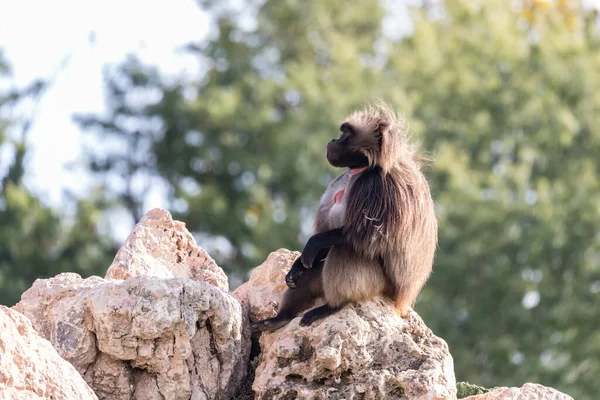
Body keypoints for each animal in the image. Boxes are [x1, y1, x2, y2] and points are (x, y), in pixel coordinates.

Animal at [252, 103, 436, 332]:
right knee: (315, 268)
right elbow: (316, 250)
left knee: (347, 247)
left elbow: (365, 235)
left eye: (346, 134)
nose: (333, 140)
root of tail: (400, 302)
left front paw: (313, 243)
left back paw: (331, 306)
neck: (367, 168)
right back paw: (281, 318)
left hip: (377, 286)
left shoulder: (381, 187)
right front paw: (296, 266)